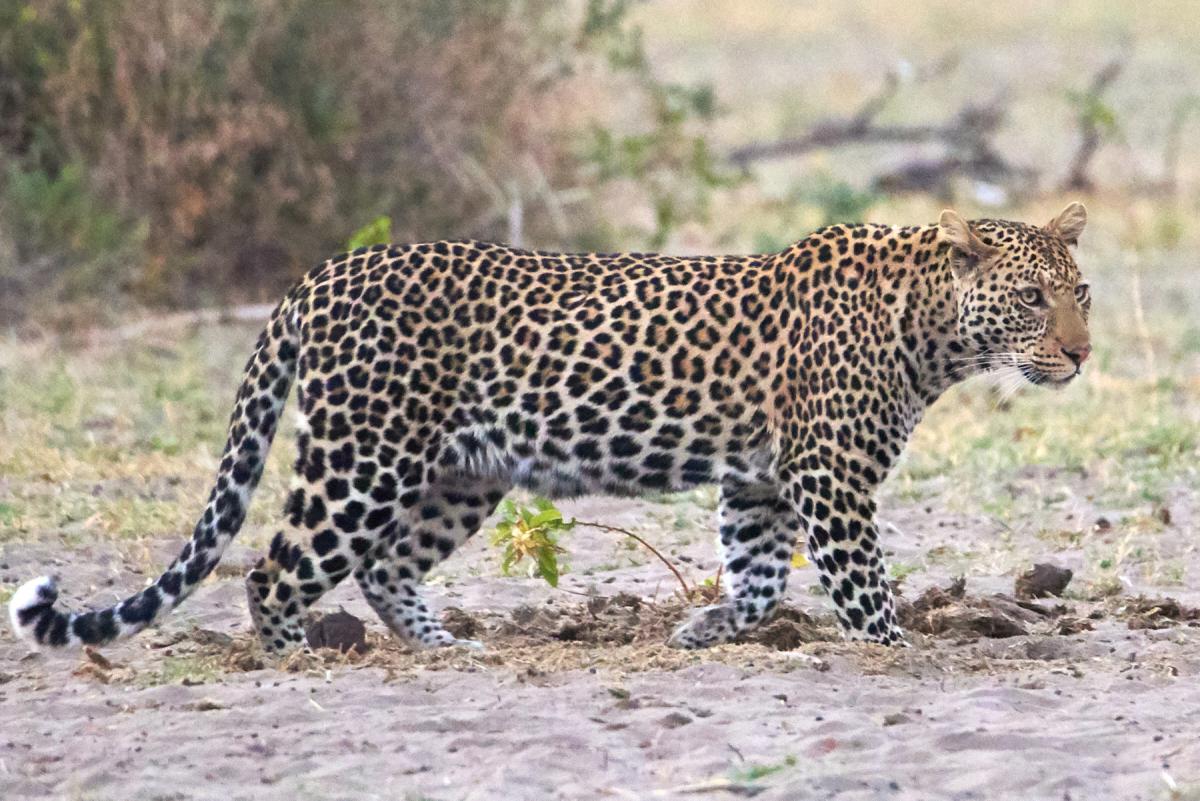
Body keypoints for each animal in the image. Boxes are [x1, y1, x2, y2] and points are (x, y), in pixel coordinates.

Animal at [9, 203, 1092, 655]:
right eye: (1032, 299)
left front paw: (702, 630)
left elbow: (754, 580)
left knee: (386, 565)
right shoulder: (829, 478)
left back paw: (445, 648)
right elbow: (861, 585)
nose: (1081, 355)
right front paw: (897, 650)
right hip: (363, 456)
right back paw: (293, 658)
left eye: (1079, 293)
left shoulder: (759, 482)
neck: (930, 329)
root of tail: (316, 277)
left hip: (462, 475)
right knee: (279, 567)